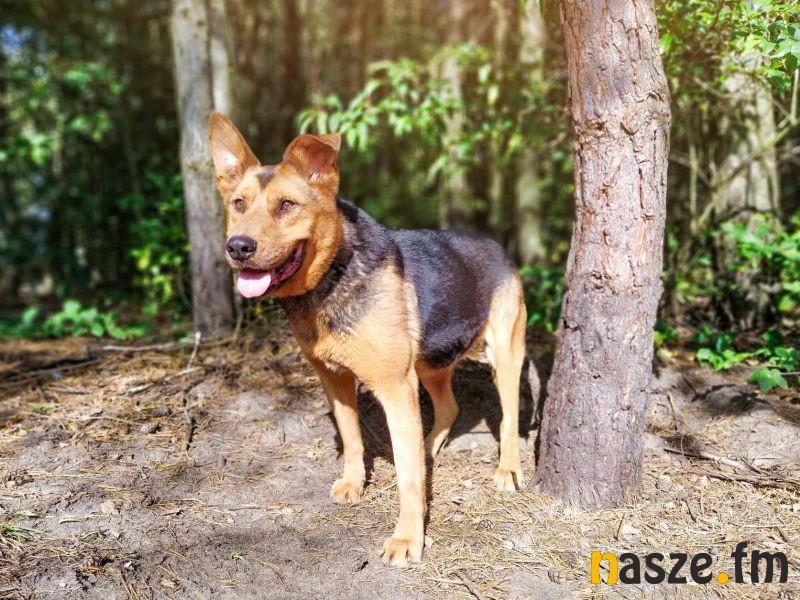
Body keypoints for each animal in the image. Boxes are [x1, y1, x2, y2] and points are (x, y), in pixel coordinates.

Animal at [208, 113, 526, 567]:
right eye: (238, 204)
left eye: (286, 205)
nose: (238, 247)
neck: (333, 274)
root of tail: (497, 245)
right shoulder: (335, 380)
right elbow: (353, 439)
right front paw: (354, 484)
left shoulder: (394, 386)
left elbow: (408, 478)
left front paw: (408, 538)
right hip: (428, 366)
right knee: (448, 408)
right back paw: (429, 447)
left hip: (504, 357)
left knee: (509, 417)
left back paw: (507, 470)